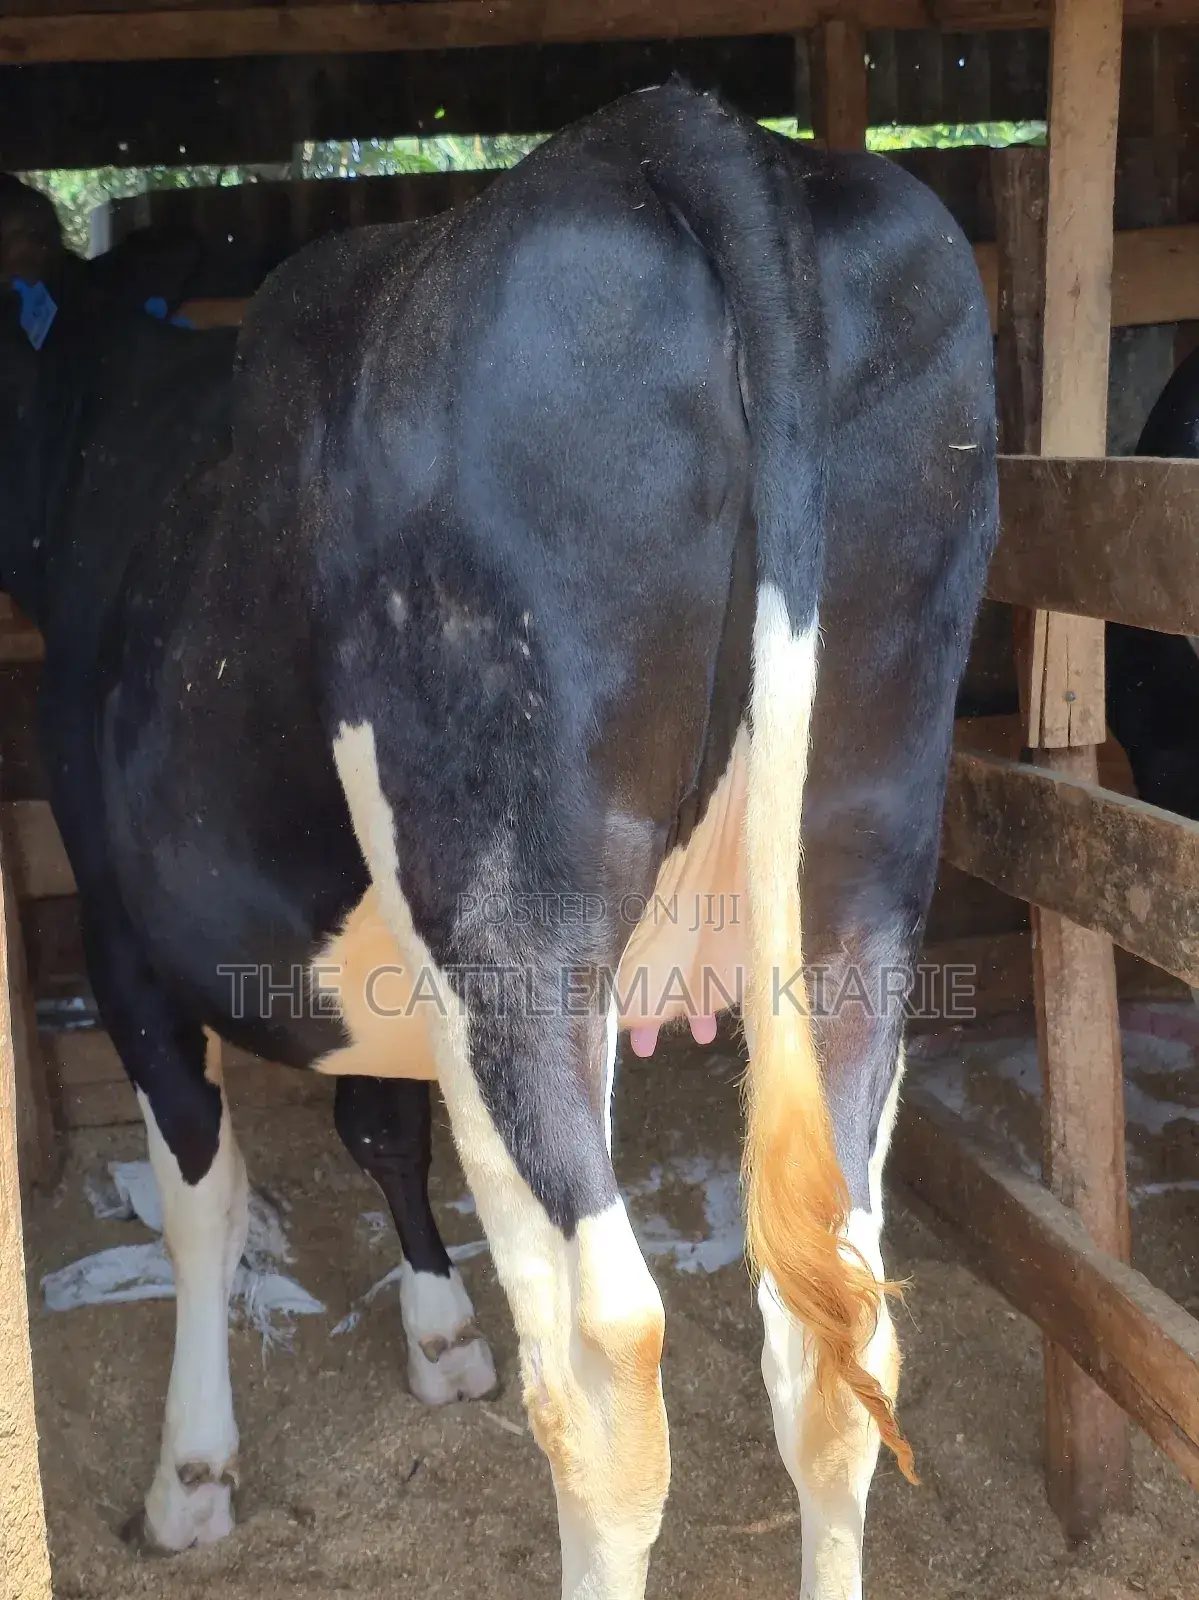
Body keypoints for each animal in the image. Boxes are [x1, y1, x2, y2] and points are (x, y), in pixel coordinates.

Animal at [1, 83, 997, 1599]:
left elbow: (205, 1195)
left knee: (603, 1357)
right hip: (856, 877)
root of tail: (675, 131)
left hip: (506, 919)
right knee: (836, 1327)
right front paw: (436, 1330)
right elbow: (375, 1123)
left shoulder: (122, 931)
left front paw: (191, 1474)